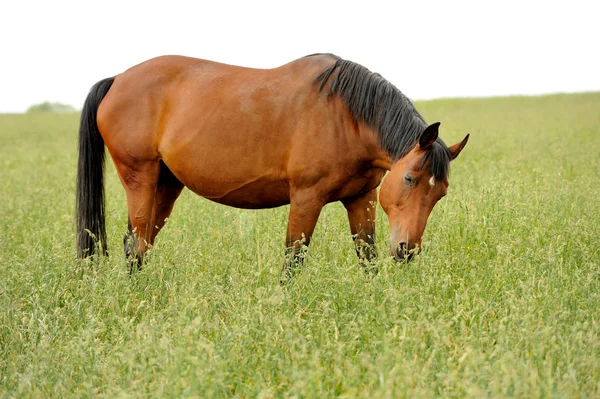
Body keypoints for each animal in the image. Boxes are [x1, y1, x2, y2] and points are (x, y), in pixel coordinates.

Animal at [75, 53, 468, 280]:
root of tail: (117, 79)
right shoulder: (307, 198)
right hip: (140, 176)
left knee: (141, 245)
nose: (407, 249)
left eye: (440, 194)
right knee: (134, 244)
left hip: (166, 184)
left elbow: (366, 256)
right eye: (409, 178)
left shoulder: (362, 197)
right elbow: (293, 260)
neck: (346, 116)